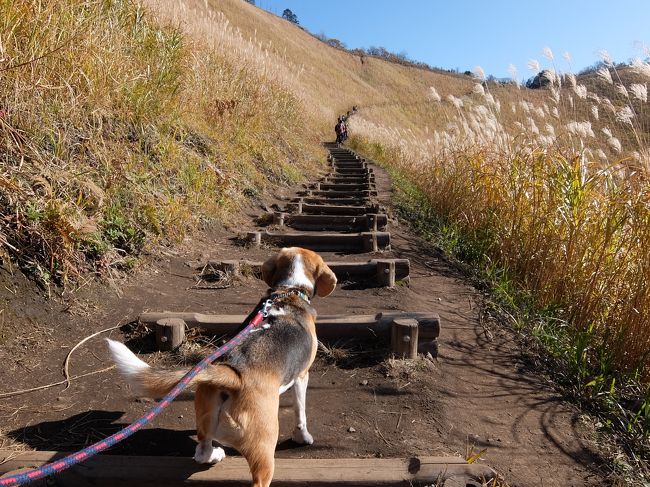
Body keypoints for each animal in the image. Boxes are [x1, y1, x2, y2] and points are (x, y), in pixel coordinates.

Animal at [105, 250, 334, 486]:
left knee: (202, 452)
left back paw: (216, 454)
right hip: (264, 451)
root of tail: (234, 375)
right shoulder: (302, 376)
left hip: (207, 416)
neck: (290, 290)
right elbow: (300, 412)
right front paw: (303, 437)